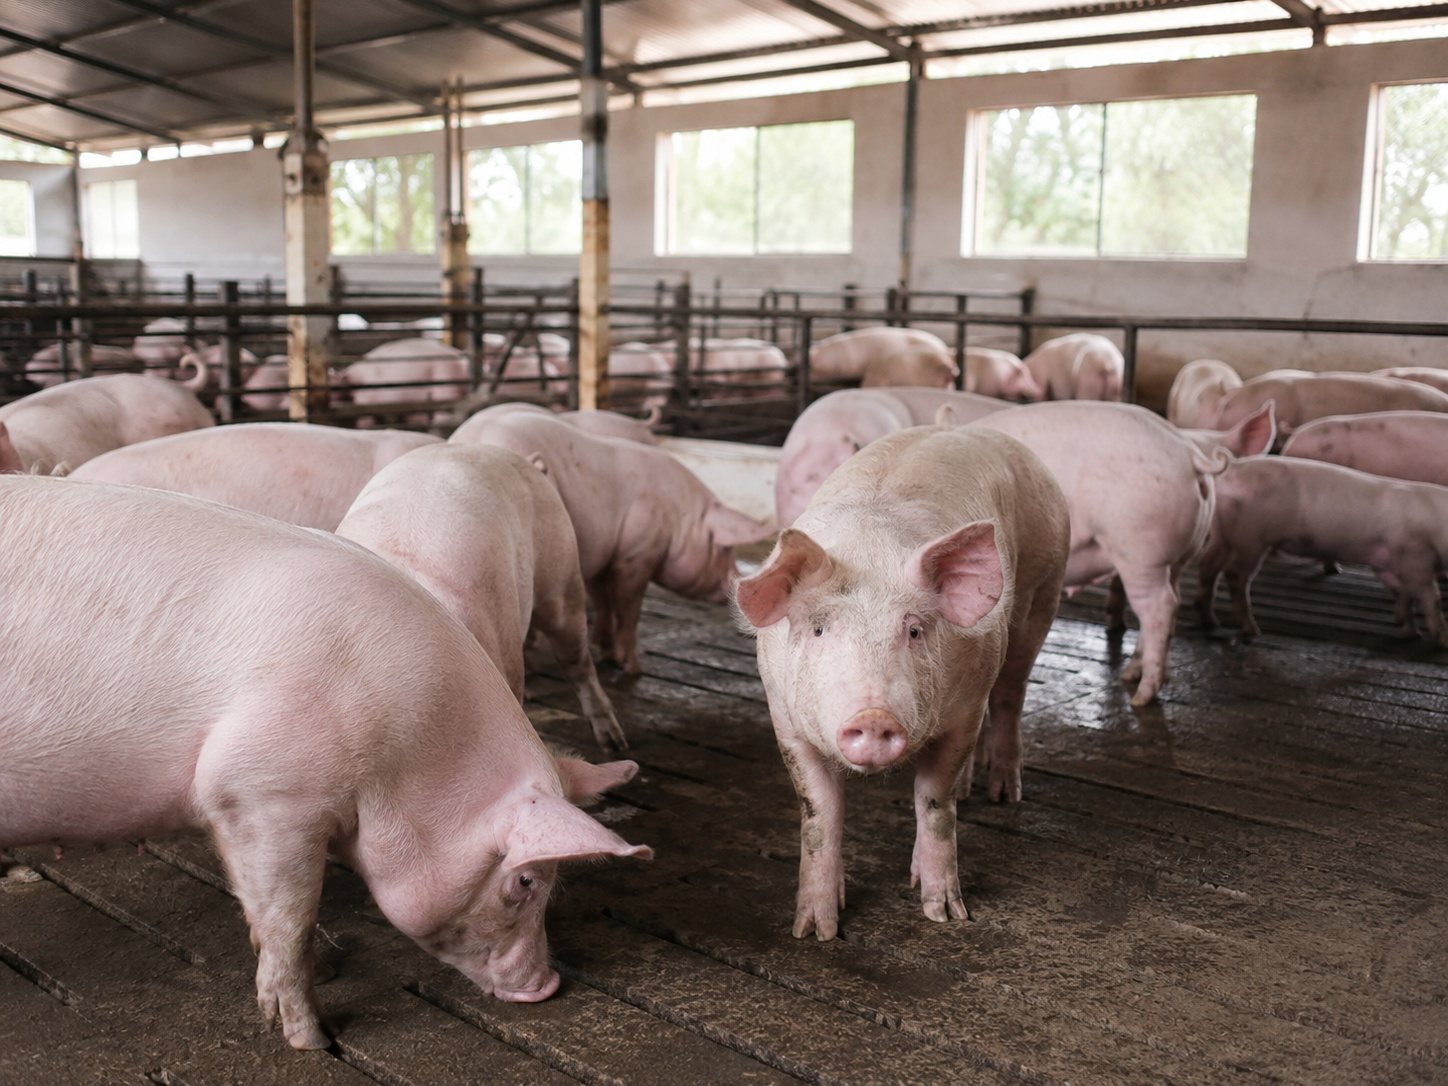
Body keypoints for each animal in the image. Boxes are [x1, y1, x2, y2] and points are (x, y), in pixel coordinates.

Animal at [451, 409, 773, 673]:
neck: (679, 516)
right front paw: (633, 668)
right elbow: (628, 608)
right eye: (725, 548)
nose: (739, 583)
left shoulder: (600, 550)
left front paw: (605, 650)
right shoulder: (637, 553)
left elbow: (601, 598)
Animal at [736, 425, 1069, 938]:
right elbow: (819, 813)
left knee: (1011, 696)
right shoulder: (785, 720)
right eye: (819, 629)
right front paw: (815, 931)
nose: (874, 716)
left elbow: (934, 802)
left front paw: (945, 914)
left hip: (1042, 594)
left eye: (914, 630)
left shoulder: (964, 713)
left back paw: (1004, 793)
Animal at [969, 402, 1227, 705]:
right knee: (1169, 601)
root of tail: (1190, 453)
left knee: (1159, 606)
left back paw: (1141, 696)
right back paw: (1133, 674)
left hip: (1139, 548)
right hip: (1179, 554)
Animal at [1195, 456, 1448, 644]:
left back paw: (1211, 621)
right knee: (1235, 576)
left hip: (1222, 533)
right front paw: (1440, 639)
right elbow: (1430, 597)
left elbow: (1404, 595)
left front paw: (1409, 631)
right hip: (1250, 539)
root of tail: (1233, 468)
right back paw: (1252, 630)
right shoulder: (1415, 557)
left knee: (1208, 566)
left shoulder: (1384, 564)